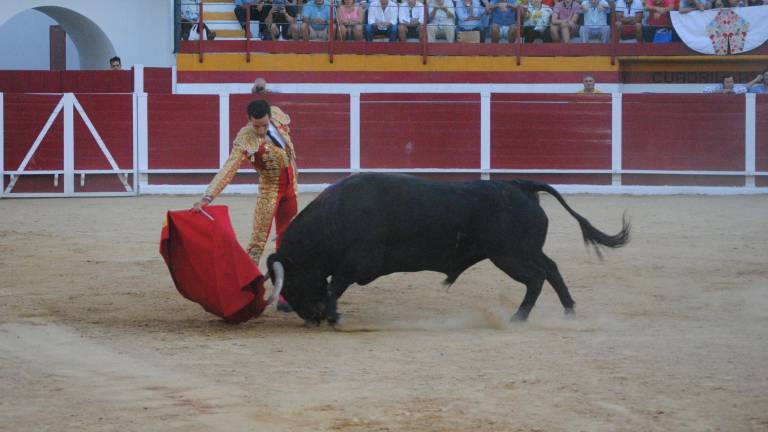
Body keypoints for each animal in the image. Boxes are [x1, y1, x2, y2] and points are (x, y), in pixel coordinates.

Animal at [268, 172, 632, 324]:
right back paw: (569, 311)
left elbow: (334, 288)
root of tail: (521, 186)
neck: (335, 217)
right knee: (552, 269)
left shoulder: (355, 265)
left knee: (536, 278)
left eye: (293, 281)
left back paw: (518, 317)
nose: (310, 318)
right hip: (525, 251)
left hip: (509, 256)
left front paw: (333, 316)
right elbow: (333, 287)